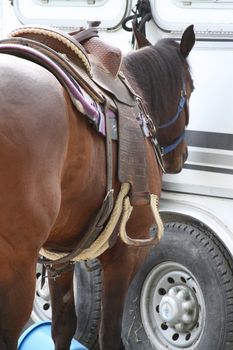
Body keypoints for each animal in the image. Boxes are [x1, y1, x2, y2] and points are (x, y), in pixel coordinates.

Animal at [0, 24, 195, 350]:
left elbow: (63, 326)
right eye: (190, 88)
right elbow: (110, 335)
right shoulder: (126, 252)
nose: (183, 156)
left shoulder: (58, 255)